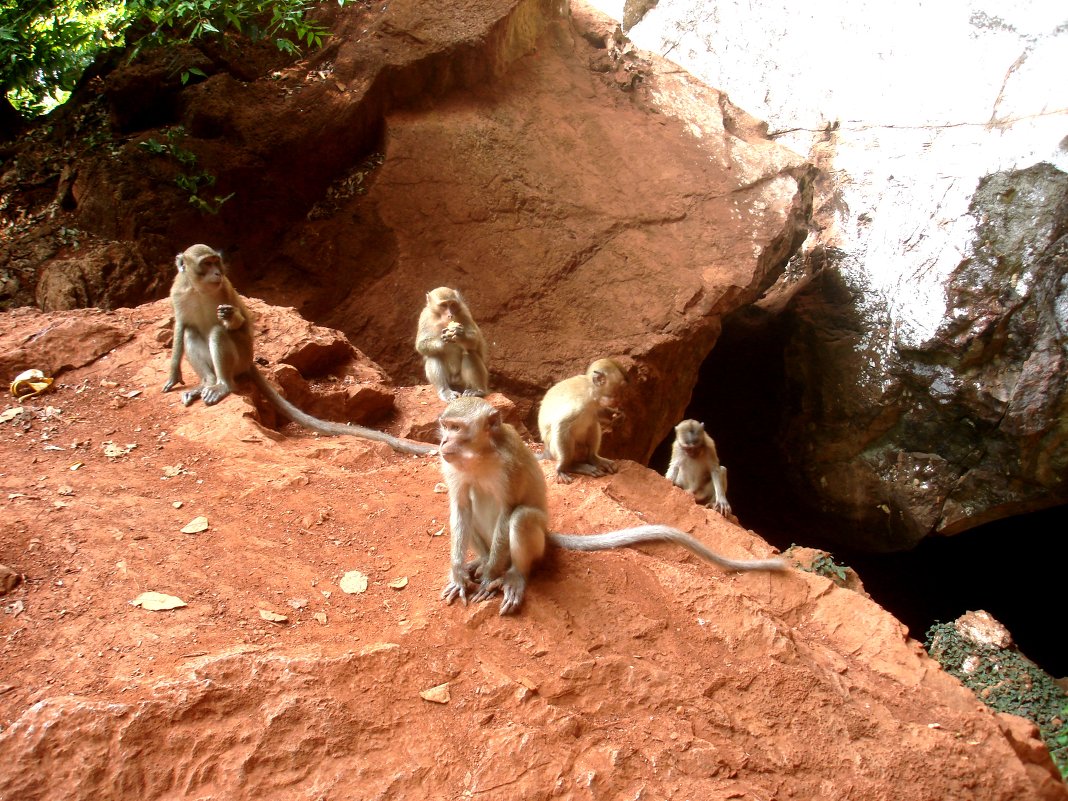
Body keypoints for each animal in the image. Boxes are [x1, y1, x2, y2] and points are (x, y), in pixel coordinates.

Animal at [159, 243, 433, 457]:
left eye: (216, 262)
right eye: (206, 263)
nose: (217, 272)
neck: (199, 290)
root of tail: (248, 362)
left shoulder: (225, 289)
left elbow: (242, 325)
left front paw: (230, 317)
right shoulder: (178, 293)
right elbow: (181, 327)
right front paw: (173, 376)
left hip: (240, 357)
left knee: (218, 333)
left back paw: (223, 385)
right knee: (192, 333)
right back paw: (207, 383)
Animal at [437, 399, 790, 619]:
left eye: (456, 428)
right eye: (446, 426)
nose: (441, 442)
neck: (480, 456)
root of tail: (549, 534)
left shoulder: (507, 466)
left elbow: (509, 508)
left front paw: (490, 578)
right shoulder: (452, 467)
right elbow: (459, 507)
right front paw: (459, 573)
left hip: (535, 540)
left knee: (521, 518)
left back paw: (512, 576)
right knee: (470, 508)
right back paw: (480, 561)